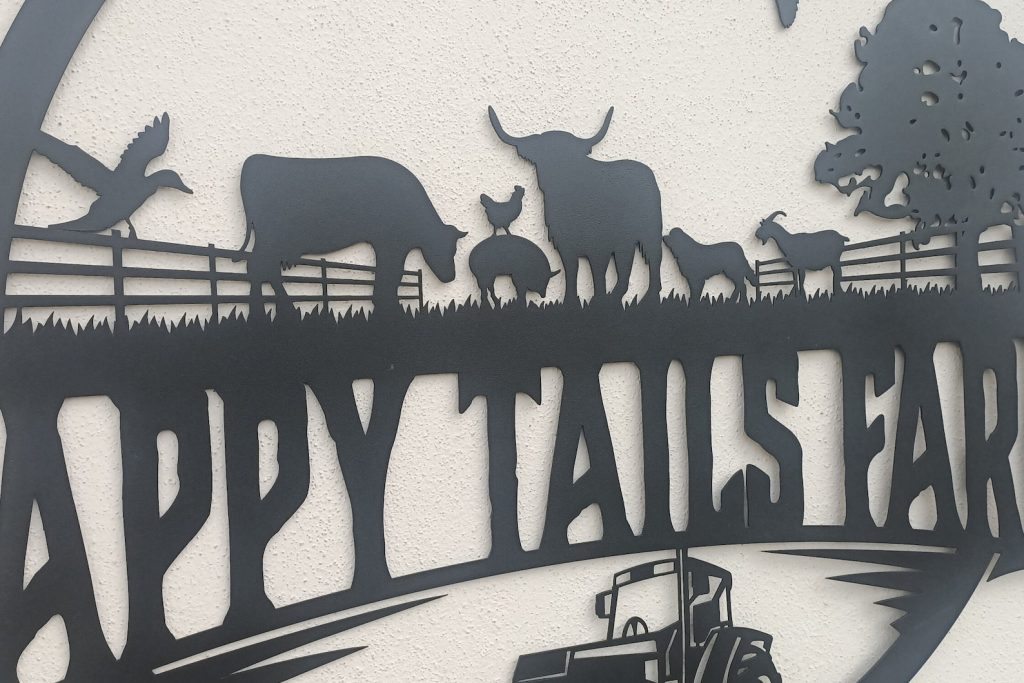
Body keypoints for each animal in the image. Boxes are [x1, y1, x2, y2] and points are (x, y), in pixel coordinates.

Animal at [238, 154, 466, 313]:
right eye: (449, 250)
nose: (450, 277)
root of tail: (252, 161)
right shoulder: (389, 243)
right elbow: (391, 273)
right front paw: (386, 305)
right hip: (272, 239)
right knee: (260, 267)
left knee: (259, 268)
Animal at [488, 106, 663, 304]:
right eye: (543, 158)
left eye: (570, 160)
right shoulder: (565, 242)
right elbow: (571, 270)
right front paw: (570, 300)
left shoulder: (599, 243)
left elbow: (598, 270)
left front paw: (597, 300)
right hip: (624, 238)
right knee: (626, 262)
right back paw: (617, 295)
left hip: (649, 231)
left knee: (654, 258)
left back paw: (650, 296)